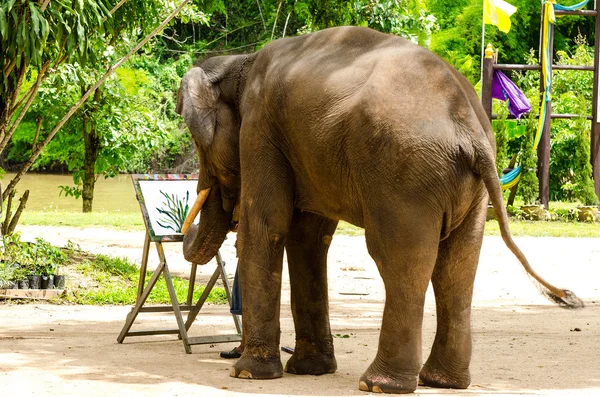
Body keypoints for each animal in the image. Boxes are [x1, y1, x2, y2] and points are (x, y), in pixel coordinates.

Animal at [176, 27, 584, 392]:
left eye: (196, 141)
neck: (240, 63)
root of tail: (469, 127)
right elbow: (307, 237)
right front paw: (310, 370)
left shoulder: (261, 128)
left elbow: (268, 225)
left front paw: (247, 374)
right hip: (471, 187)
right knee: (457, 266)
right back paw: (443, 382)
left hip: (405, 177)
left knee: (400, 261)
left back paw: (379, 384)